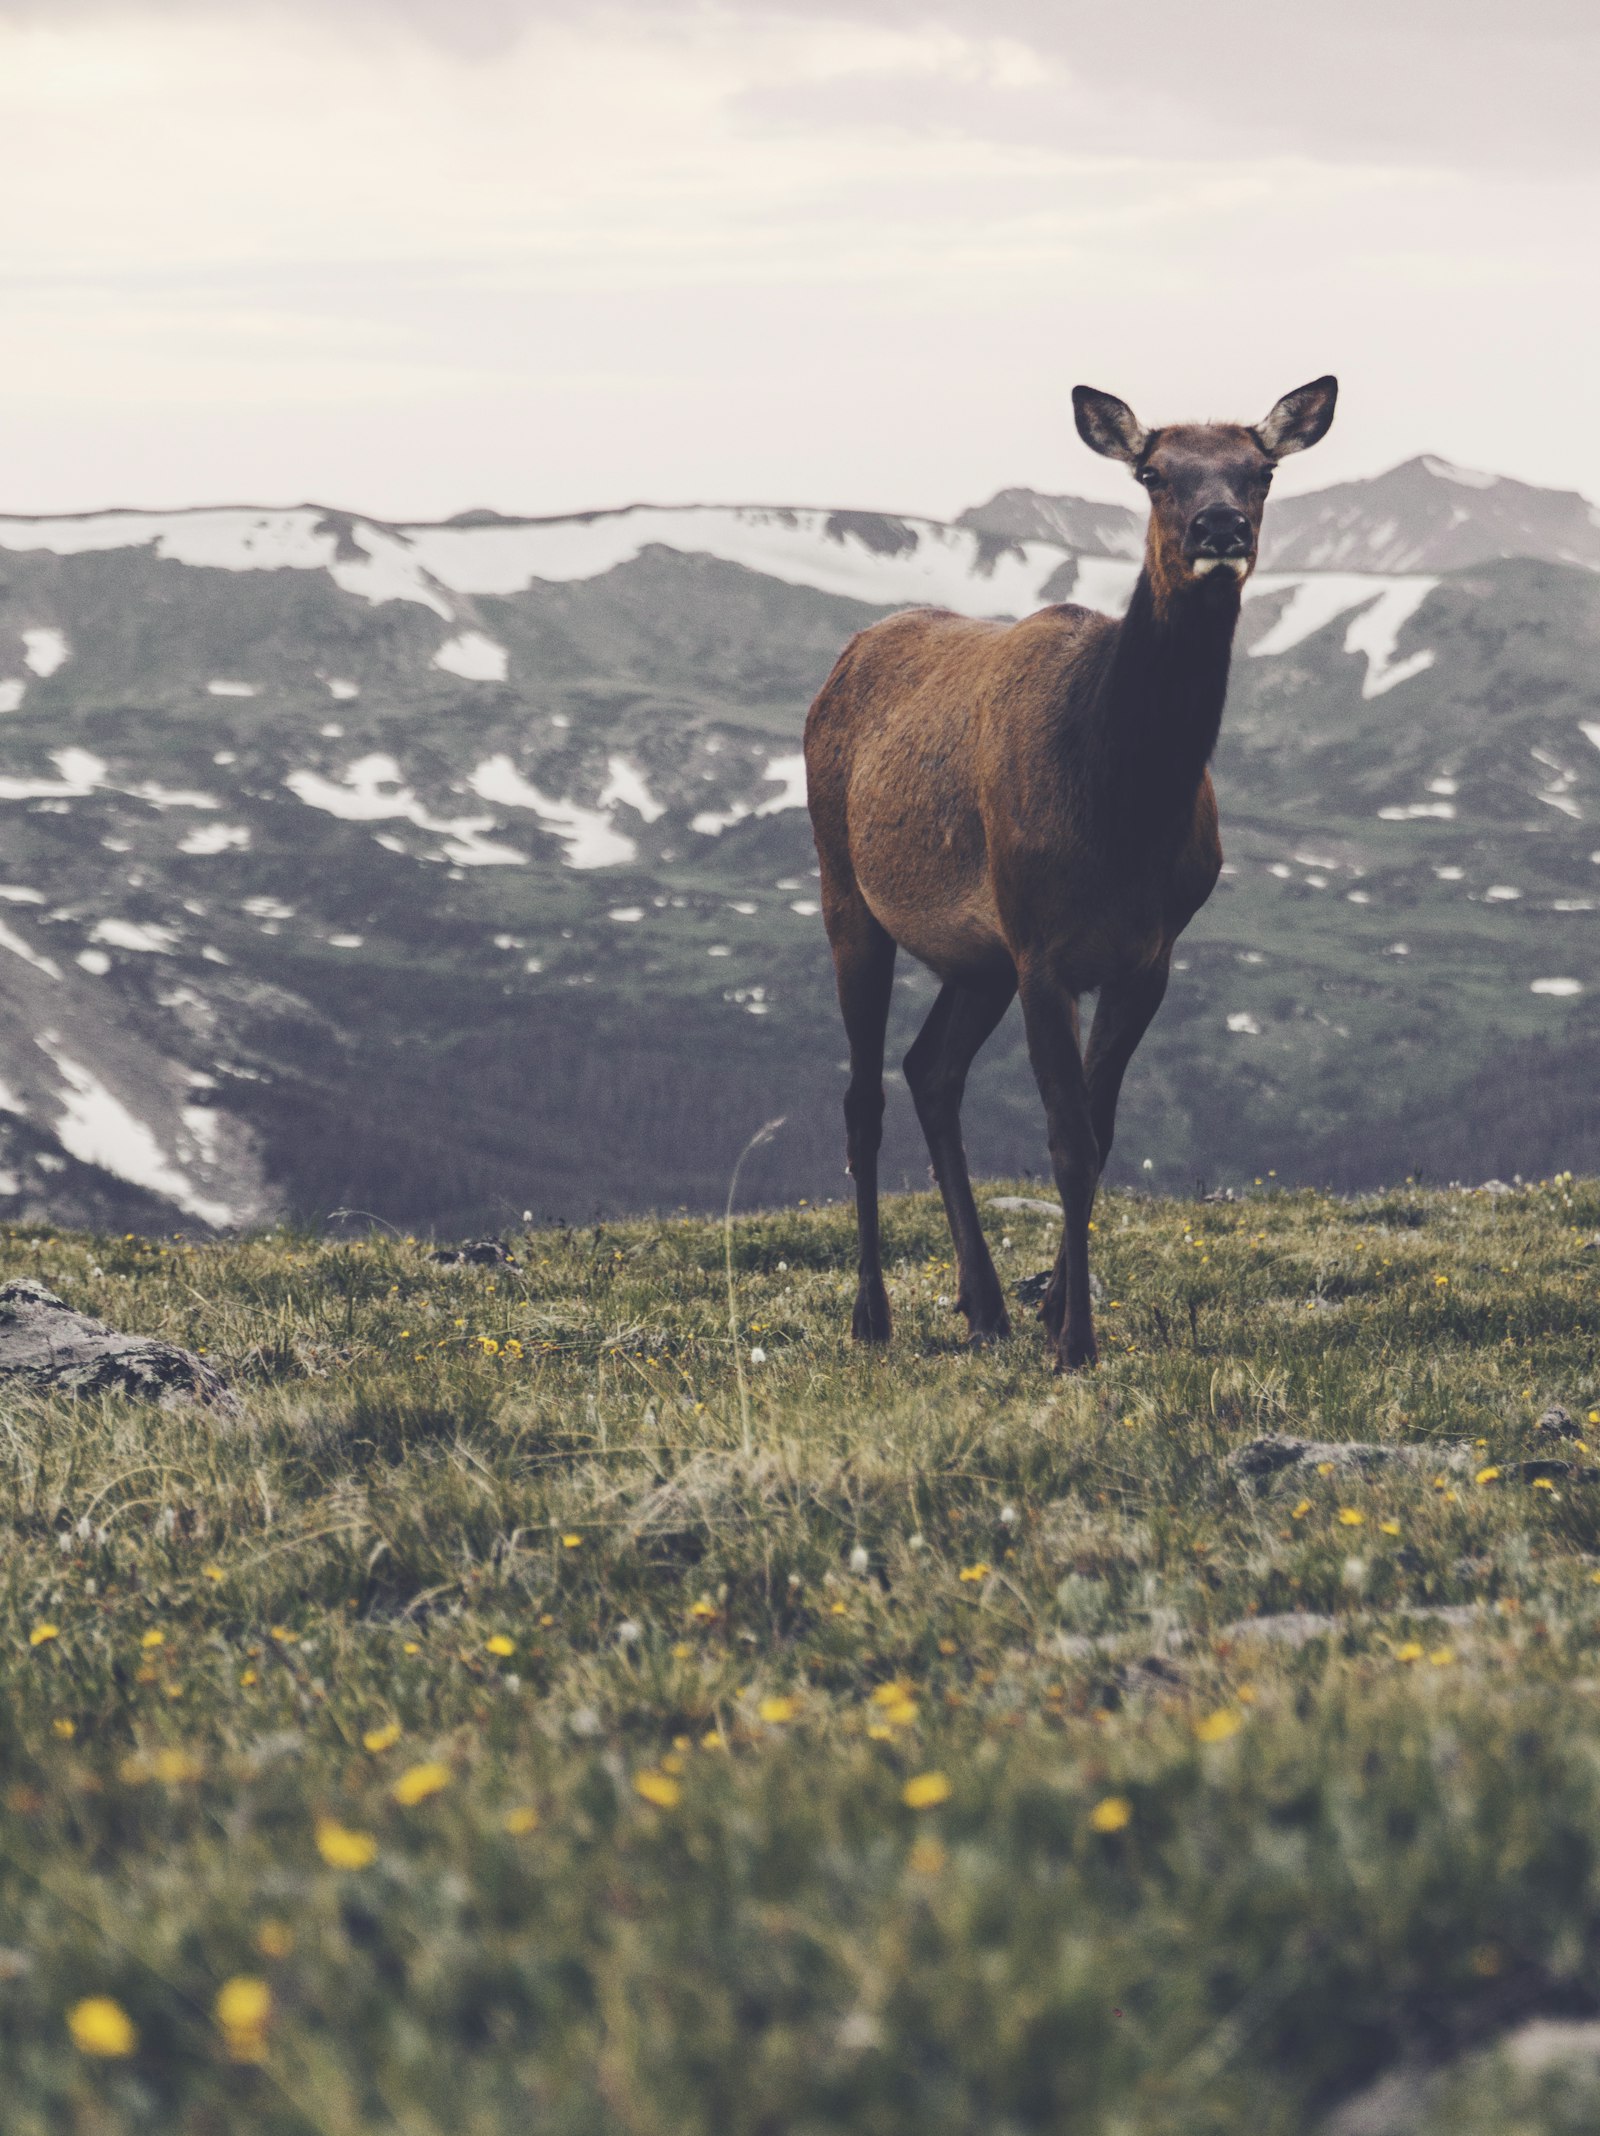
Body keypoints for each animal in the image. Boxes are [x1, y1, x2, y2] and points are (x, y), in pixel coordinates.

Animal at [798, 375, 1332, 1367]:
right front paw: (1077, 1340)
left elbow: (1103, 1128)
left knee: (930, 1071)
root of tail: (844, 659)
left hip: (975, 957)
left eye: (1262, 470)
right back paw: (873, 1315)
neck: (1123, 809)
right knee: (862, 1096)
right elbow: (1069, 1142)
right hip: (846, 887)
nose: (1219, 527)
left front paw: (1053, 1311)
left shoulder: (1146, 956)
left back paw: (985, 1304)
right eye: (1154, 473)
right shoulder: (1043, 948)